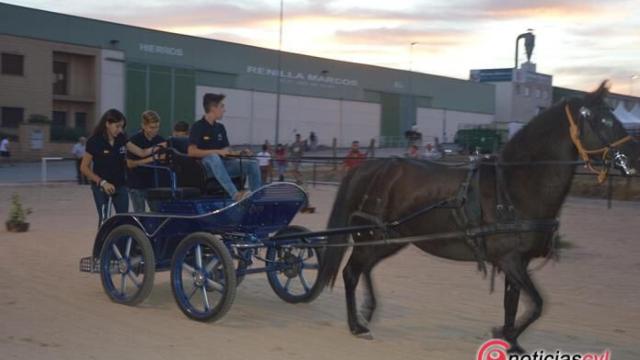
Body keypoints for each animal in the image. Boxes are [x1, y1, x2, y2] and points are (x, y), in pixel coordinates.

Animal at [318, 81, 636, 352]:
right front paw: (505, 335)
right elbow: (537, 304)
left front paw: (510, 341)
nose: (634, 158)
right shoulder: (510, 261)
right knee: (351, 273)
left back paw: (367, 311)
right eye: (604, 121)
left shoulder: (516, 263)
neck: (514, 187)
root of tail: (369, 166)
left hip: (390, 239)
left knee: (365, 270)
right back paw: (357, 325)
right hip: (370, 237)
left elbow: (514, 305)